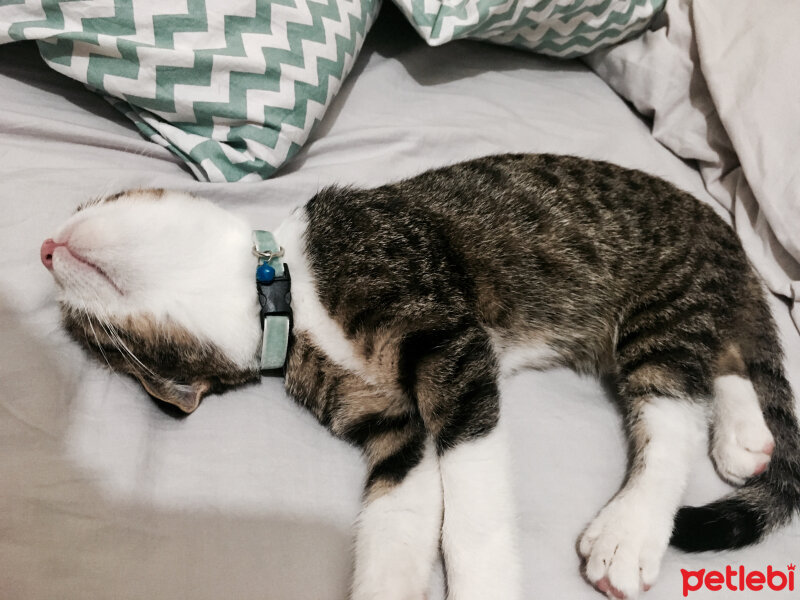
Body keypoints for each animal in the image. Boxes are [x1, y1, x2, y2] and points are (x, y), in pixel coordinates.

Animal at [43, 155, 800, 600]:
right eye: (97, 343)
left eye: (99, 200)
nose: (45, 248)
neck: (285, 294)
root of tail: (721, 228)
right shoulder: (389, 423)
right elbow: (402, 504)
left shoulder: (446, 336)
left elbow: (469, 496)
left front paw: (484, 582)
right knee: (723, 363)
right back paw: (744, 437)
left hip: (664, 301)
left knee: (673, 408)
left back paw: (632, 528)